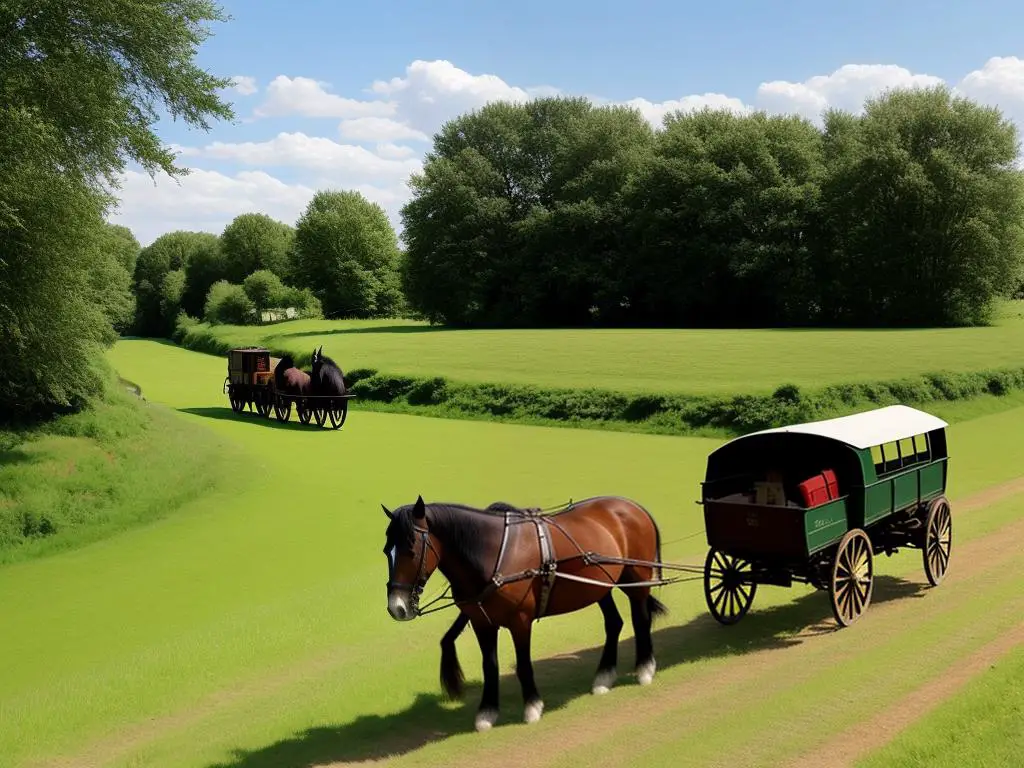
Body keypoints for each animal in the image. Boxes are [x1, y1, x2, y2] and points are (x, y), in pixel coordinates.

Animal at [380, 499, 667, 733]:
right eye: (386, 551)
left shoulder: (520, 621)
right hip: (599, 585)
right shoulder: (482, 623)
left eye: (411, 550)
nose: (397, 607)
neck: (490, 554)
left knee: (641, 619)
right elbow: (489, 666)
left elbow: (523, 663)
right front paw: (487, 712)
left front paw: (532, 706)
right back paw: (604, 677)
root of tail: (634, 506)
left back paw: (645, 669)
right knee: (614, 623)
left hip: (636, 577)